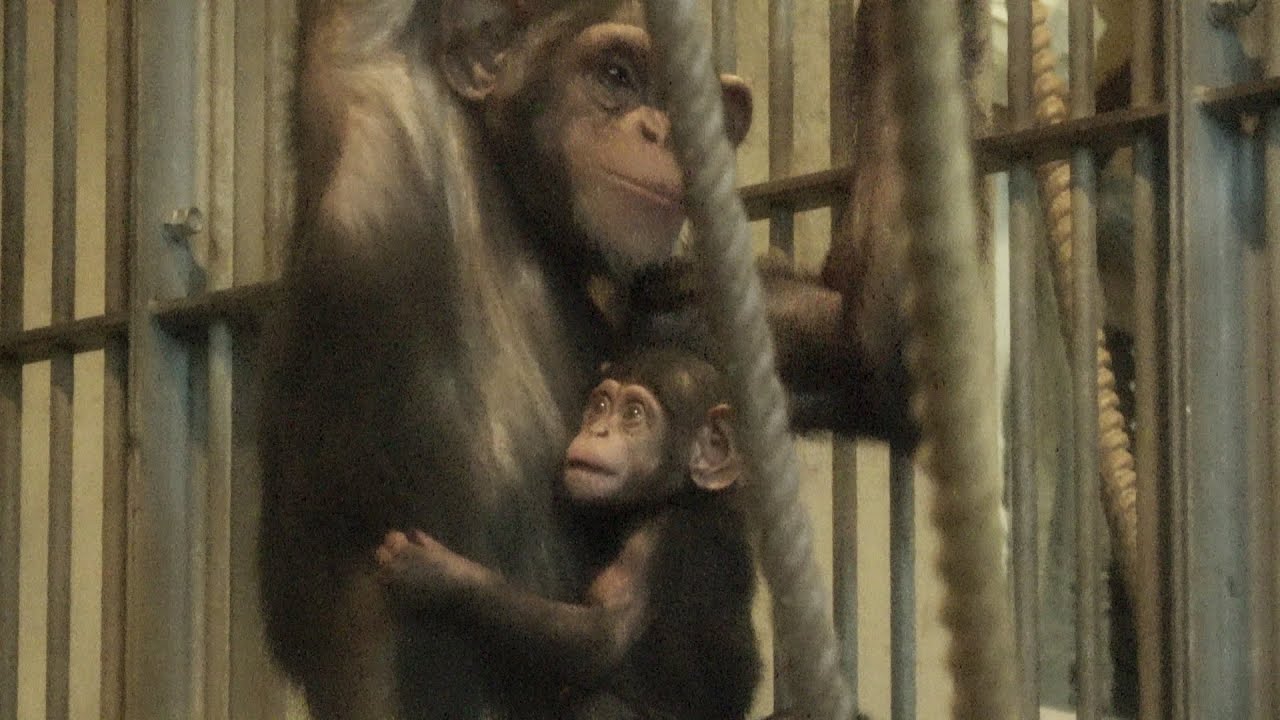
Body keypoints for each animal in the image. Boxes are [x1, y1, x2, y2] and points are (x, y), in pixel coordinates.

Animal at [376, 345, 759, 720]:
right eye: (601, 406)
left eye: (633, 414)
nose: (598, 430)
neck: (681, 495)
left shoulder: (661, 539)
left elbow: (602, 637)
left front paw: (438, 573)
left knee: (601, 705)